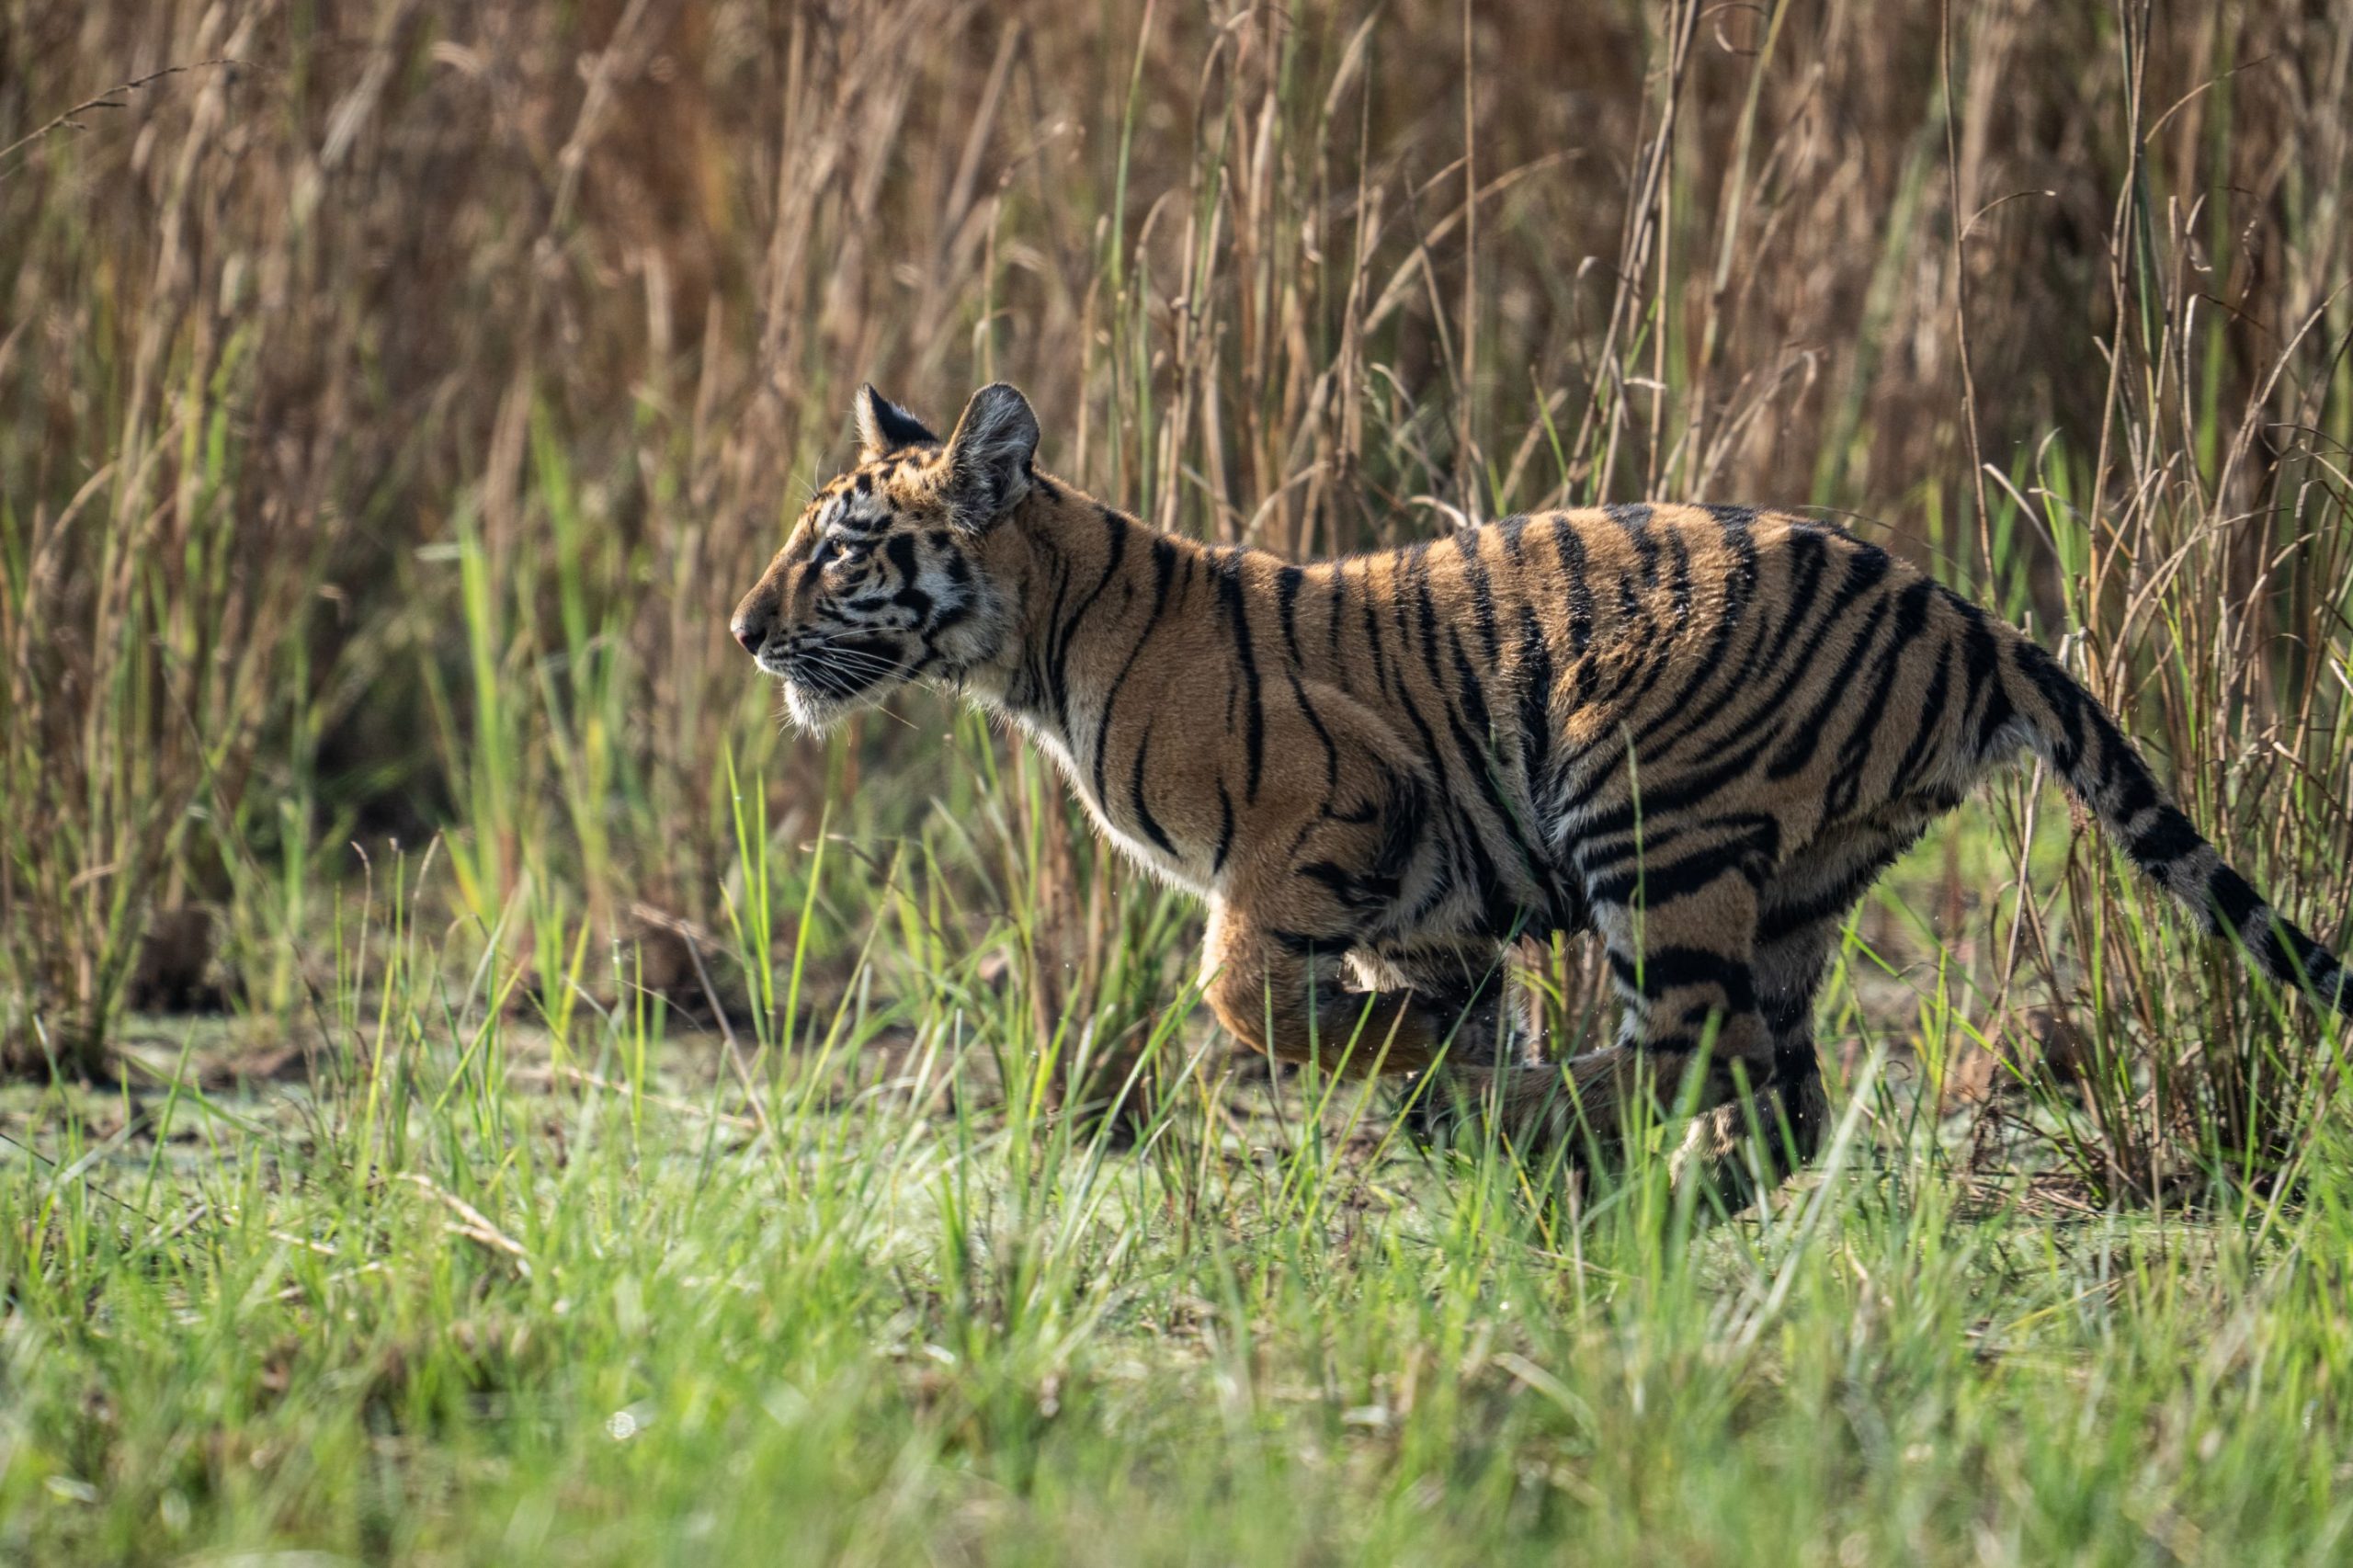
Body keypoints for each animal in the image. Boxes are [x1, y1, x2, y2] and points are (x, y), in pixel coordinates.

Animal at [724, 381, 2343, 1205]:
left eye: (845, 548)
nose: (742, 632)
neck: (1038, 643)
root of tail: (1968, 617)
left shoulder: (1333, 802)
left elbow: (1243, 997)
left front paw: (1438, 1087)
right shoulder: (1431, 898)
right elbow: (1414, 1008)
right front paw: (1438, 1093)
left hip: (1647, 796)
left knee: (1693, 1051)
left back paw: (1546, 1123)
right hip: (1799, 879)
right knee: (1780, 1093)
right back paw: (1615, 1171)